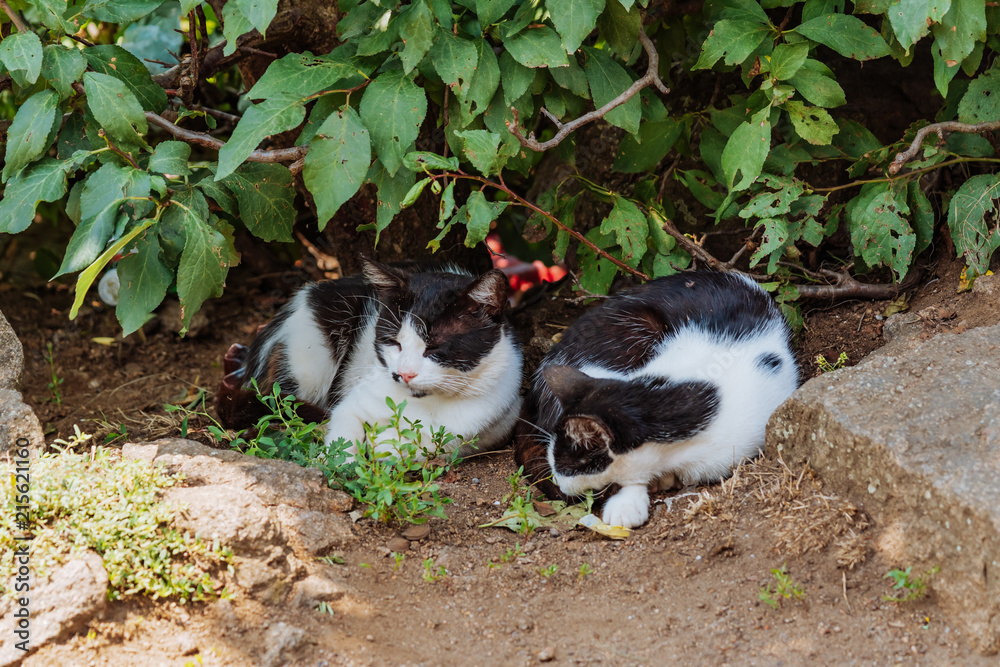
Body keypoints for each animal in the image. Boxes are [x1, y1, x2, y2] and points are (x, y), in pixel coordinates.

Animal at [218, 260, 524, 460]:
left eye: (434, 348)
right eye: (394, 342)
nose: (404, 374)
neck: (422, 403)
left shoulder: (496, 421)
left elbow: (416, 446)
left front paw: (384, 443)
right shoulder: (353, 403)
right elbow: (343, 433)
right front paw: (341, 464)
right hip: (309, 358)